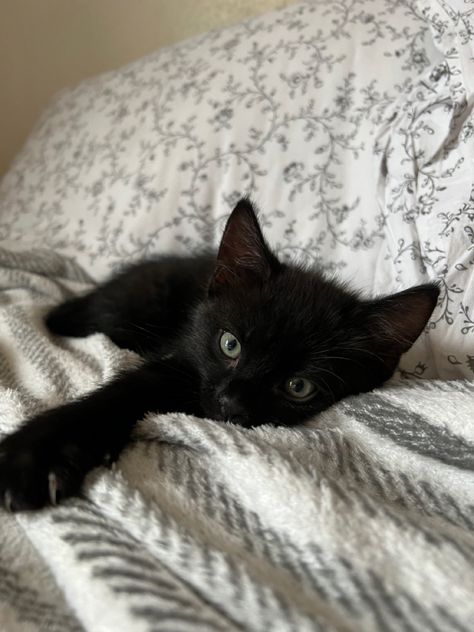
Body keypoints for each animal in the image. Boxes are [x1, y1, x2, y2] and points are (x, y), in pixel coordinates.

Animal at [0, 200, 438, 512]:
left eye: (299, 386)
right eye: (230, 345)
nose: (231, 403)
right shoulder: (182, 360)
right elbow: (127, 391)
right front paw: (34, 456)